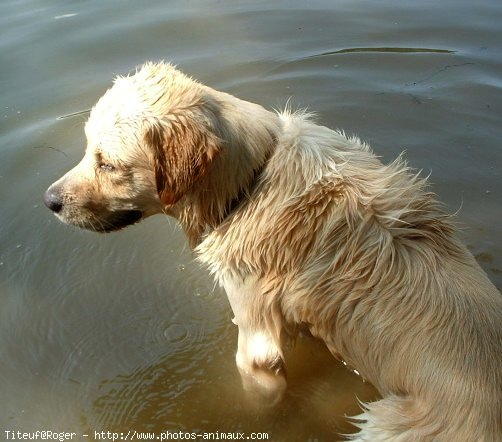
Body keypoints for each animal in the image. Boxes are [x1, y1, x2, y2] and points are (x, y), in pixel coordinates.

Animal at [44, 63, 502, 442]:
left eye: (108, 164)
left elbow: (257, 393)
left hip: (384, 423)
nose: (49, 201)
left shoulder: (255, 333)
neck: (251, 181)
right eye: (87, 150)